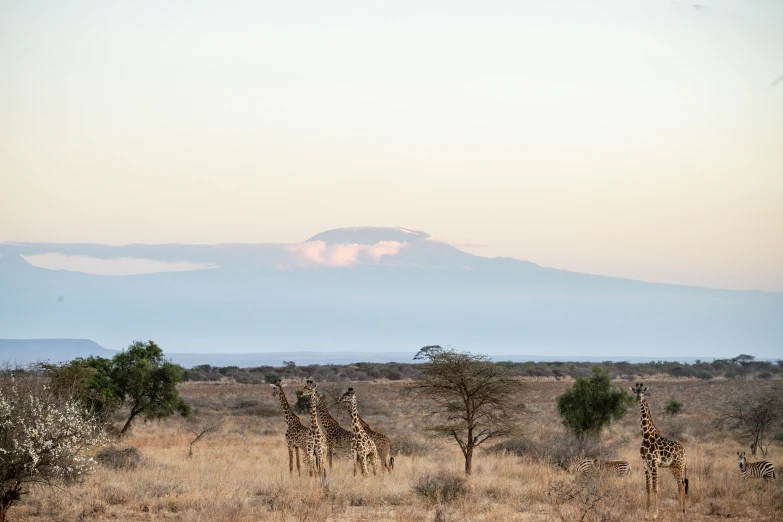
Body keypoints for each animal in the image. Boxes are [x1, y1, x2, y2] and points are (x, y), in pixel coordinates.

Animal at [632, 382, 688, 516]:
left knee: (682, 484)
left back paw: (683, 510)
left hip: (679, 466)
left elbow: (655, 488)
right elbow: (647, 487)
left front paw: (655, 512)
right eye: (635, 391)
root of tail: (685, 453)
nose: (638, 398)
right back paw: (679, 507)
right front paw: (647, 511)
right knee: (679, 484)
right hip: (673, 467)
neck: (646, 436)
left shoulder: (654, 463)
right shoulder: (645, 463)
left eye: (643, 392)